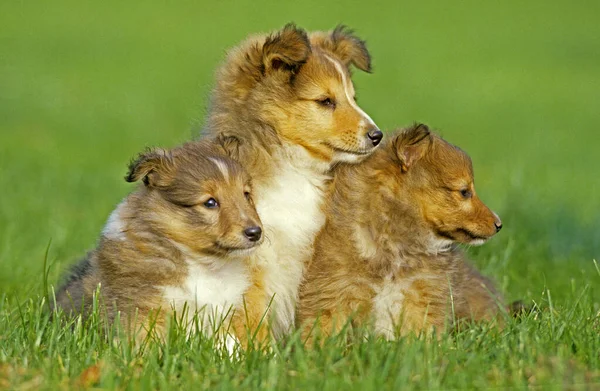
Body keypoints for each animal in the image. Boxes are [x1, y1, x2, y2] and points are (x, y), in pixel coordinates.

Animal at [55, 142, 266, 350]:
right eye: (210, 202)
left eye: (246, 194)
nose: (255, 232)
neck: (204, 263)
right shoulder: (140, 309)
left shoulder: (227, 310)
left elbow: (231, 341)